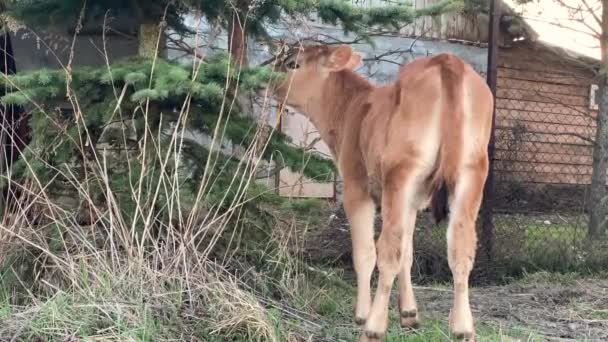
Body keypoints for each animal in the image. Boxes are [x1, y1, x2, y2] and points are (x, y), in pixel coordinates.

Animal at [274, 44, 492, 340]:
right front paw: (409, 313)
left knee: (388, 250)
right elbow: (409, 253)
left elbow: (365, 253)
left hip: (400, 173)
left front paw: (361, 314)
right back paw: (463, 328)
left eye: (292, 63)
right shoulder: (413, 201)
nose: (265, 79)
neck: (353, 108)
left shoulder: (356, 188)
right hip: (471, 173)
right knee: (461, 248)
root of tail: (448, 62)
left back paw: (373, 327)